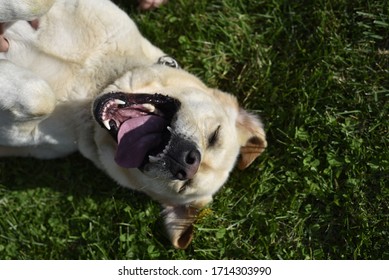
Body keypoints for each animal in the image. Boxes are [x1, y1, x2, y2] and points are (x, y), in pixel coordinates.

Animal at [0, 0, 266, 249]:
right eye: (214, 136)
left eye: (185, 185)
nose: (187, 163)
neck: (91, 89)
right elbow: (37, 6)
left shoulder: (22, 133)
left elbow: (40, 98)